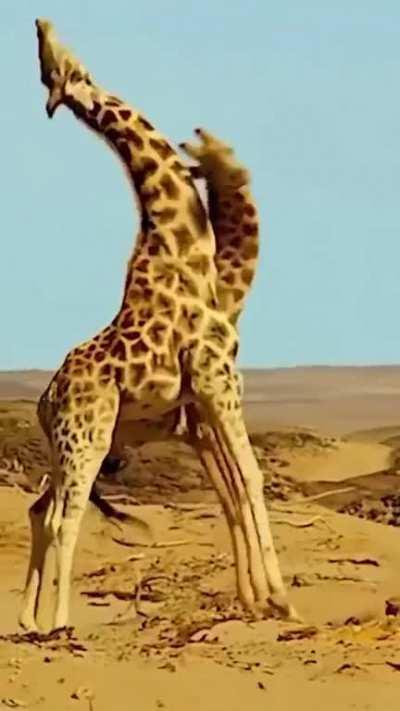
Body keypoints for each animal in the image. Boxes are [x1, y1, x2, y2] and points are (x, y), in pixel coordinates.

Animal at [20, 18, 297, 633]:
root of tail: (46, 399)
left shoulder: (200, 404)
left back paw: (31, 619)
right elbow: (250, 478)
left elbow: (232, 489)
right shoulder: (218, 379)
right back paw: (59, 621)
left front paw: (259, 598)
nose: (41, 25)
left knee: (41, 508)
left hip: (70, 445)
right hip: (88, 440)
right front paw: (280, 598)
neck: (186, 250)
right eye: (59, 67)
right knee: (63, 518)